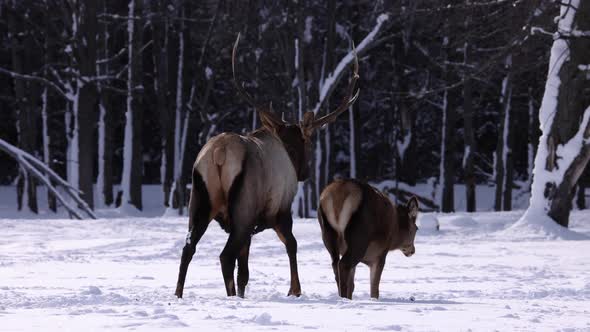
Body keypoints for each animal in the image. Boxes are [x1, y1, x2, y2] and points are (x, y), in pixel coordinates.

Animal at [175, 35, 360, 300]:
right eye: (309, 142)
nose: (305, 172)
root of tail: (219, 154)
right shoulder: (280, 211)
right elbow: (291, 244)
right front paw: (294, 290)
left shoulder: (249, 226)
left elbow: (244, 271)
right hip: (243, 207)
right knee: (225, 256)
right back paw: (230, 297)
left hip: (199, 200)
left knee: (188, 248)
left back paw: (179, 294)